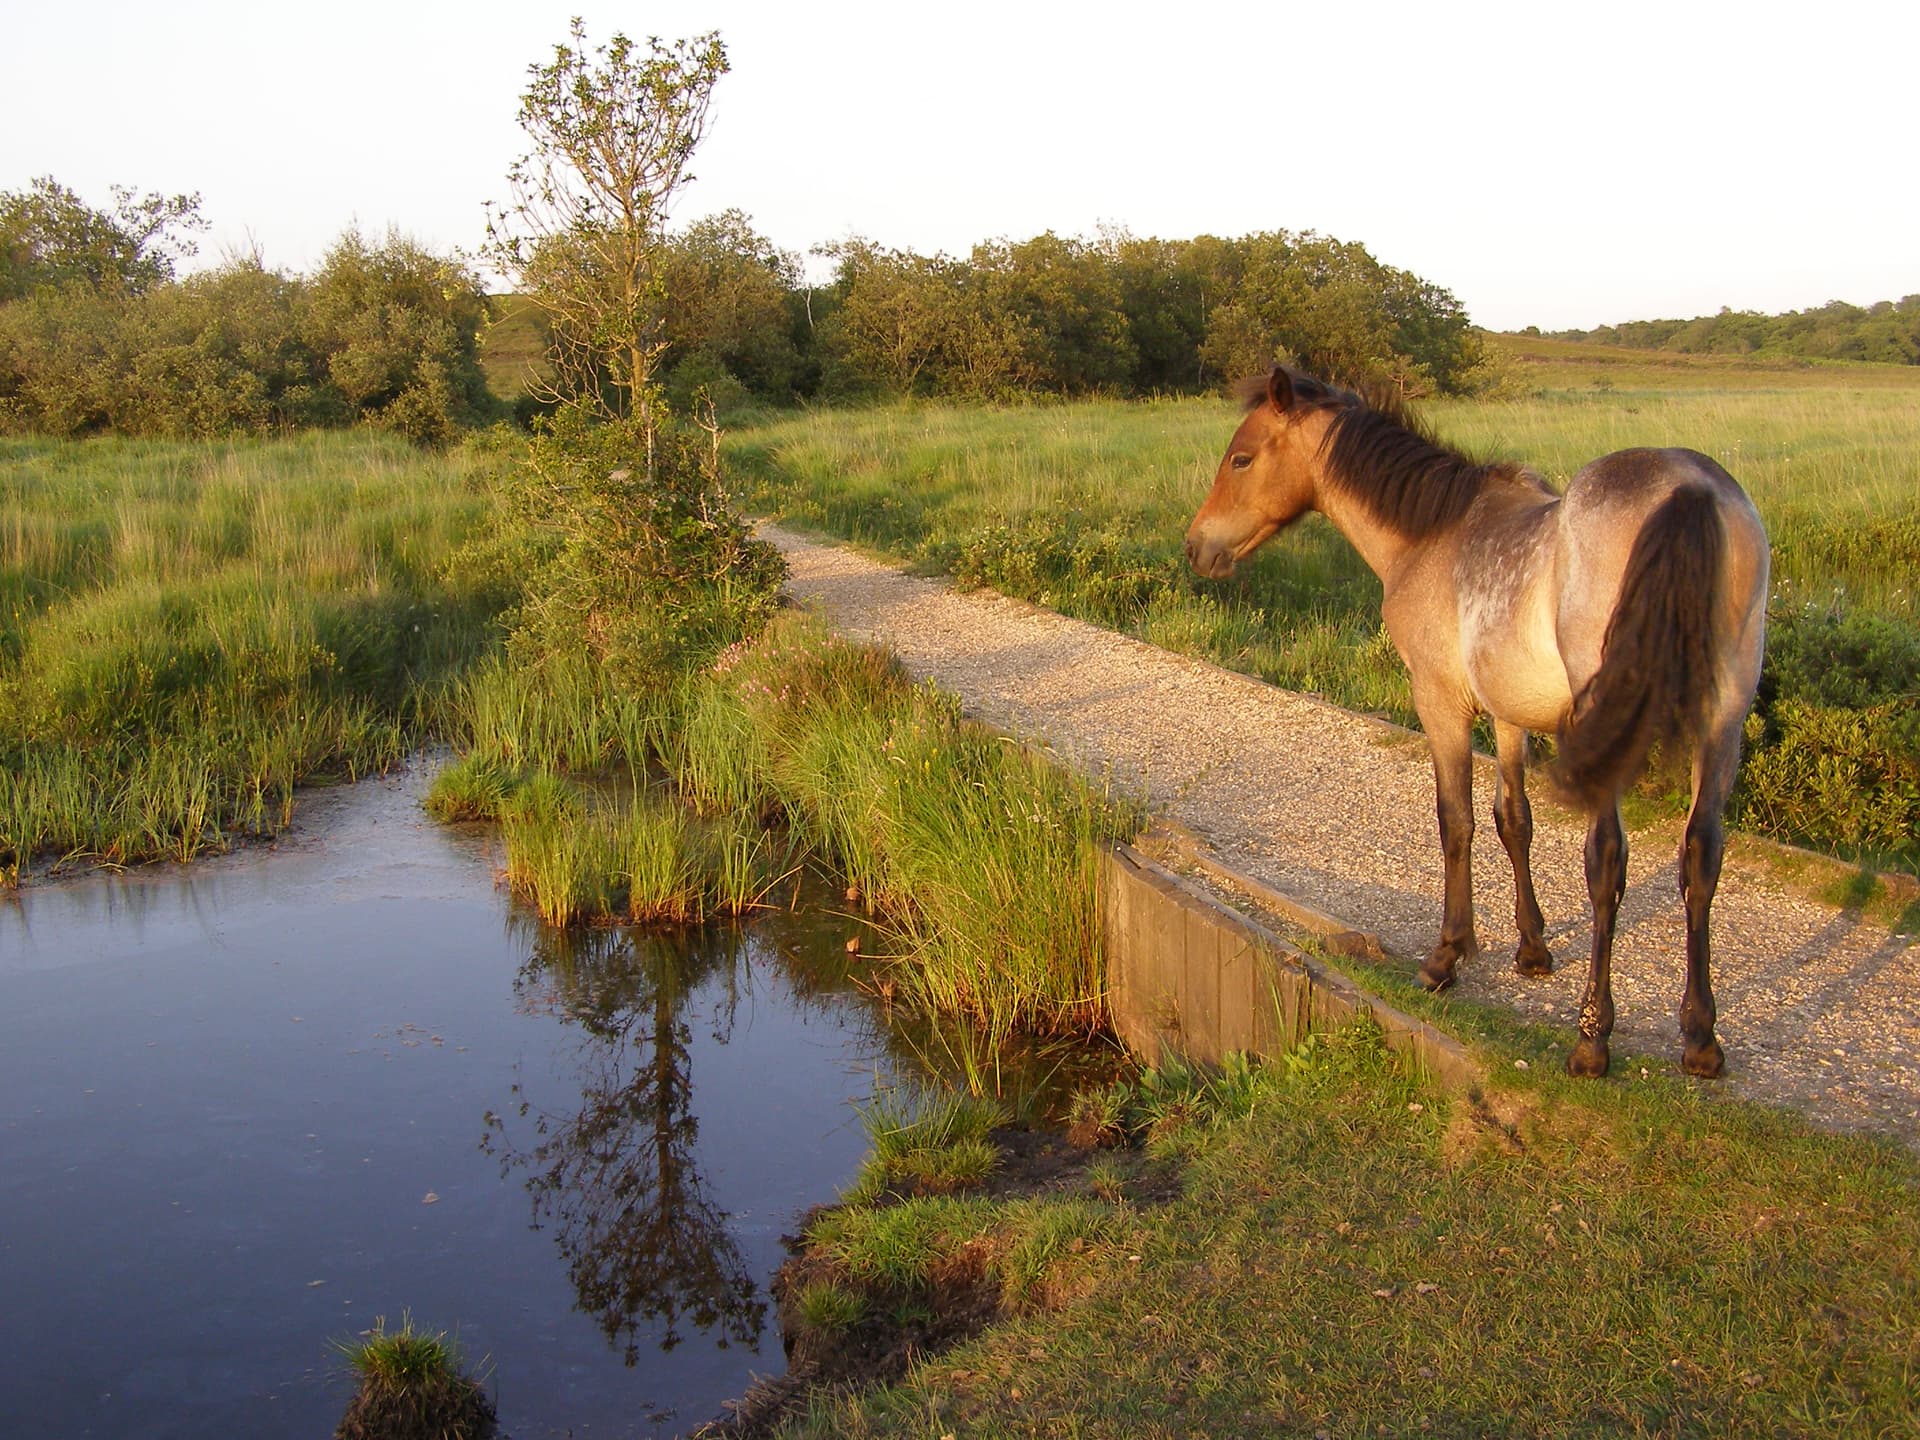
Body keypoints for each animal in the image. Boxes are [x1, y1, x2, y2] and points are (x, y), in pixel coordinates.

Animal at [1185, 366, 1769, 1079]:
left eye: (1241, 458)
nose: (1196, 546)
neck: (1433, 536)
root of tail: (1689, 489)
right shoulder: (1509, 714)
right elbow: (1513, 819)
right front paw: (1532, 949)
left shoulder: (1440, 702)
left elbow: (1455, 819)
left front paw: (1447, 955)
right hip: (1723, 721)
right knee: (1701, 856)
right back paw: (1701, 1038)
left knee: (1606, 862)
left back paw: (1592, 1038)